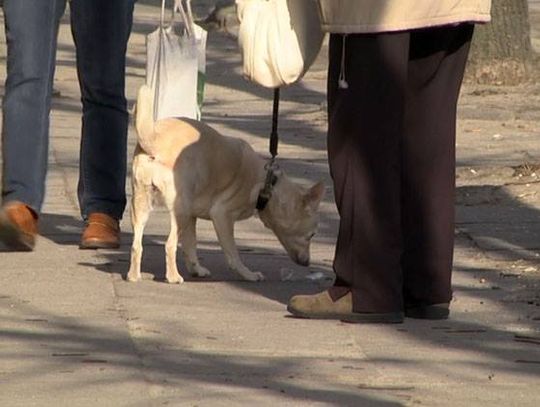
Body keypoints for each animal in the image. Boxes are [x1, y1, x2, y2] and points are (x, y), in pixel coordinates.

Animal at [128, 85, 322, 284]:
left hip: (142, 205)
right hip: (178, 213)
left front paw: (196, 269)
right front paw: (248, 274)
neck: (266, 184)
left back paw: (134, 276)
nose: (307, 263)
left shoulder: (191, 217)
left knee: (137, 245)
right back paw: (173, 277)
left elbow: (190, 246)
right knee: (169, 244)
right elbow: (233, 254)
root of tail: (154, 140)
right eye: (312, 235)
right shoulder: (222, 216)